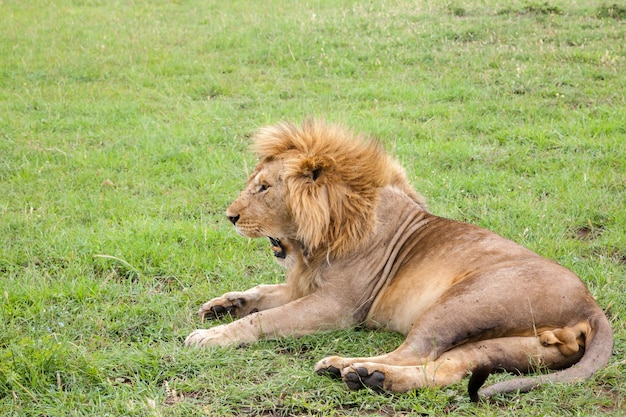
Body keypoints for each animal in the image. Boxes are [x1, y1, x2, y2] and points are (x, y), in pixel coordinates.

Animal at [184, 118, 608, 398]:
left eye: (264, 187)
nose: (230, 216)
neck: (320, 239)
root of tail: (591, 306)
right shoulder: (306, 284)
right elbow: (261, 292)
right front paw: (222, 305)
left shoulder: (339, 306)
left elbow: (264, 319)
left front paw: (211, 336)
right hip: (511, 345)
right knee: (447, 368)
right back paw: (373, 378)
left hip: (460, 303)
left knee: (414, 351)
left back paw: (349, 367)